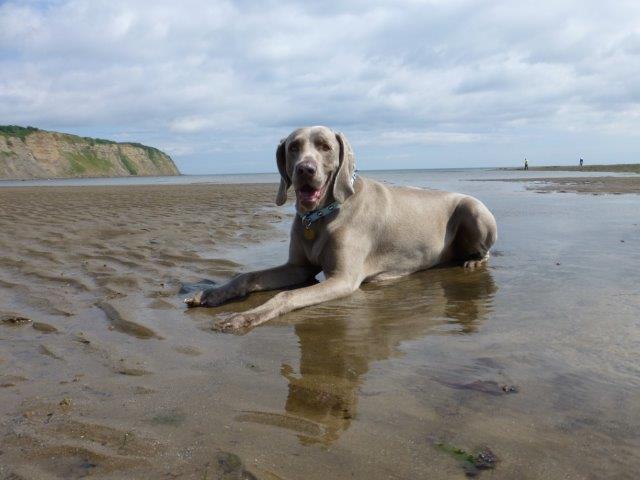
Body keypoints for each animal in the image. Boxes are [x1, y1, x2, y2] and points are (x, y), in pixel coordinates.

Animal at [182, 125, 498, 332]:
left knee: (485, 250)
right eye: (293, 147)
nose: (305, 170)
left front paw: (241, 317)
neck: (318, 216)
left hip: (473, 208)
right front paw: (212, 294)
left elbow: (286, 295)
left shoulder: (343, 278)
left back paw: (472, 261)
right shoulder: (298, 267)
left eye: (325, 146)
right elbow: (248, 275)